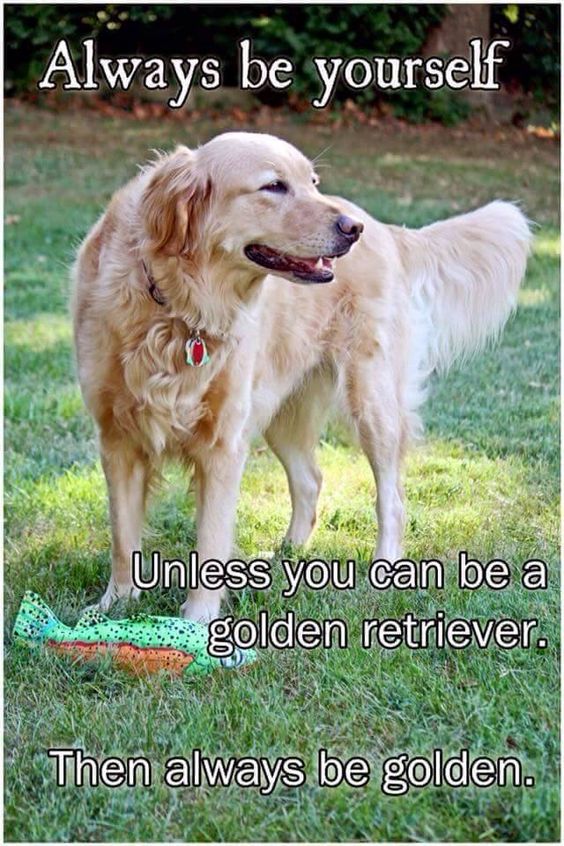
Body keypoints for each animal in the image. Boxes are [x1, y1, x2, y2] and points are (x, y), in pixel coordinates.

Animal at [72, 132, 532, 624]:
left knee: (391, 496)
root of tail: (385, 228)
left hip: (372, 401)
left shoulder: (223, 445)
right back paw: (286, 554)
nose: (352, 229)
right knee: (311, 479)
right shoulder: (117, 438)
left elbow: (211, 541)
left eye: (312, 183)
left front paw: (196, 621)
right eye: (274, 186)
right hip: (283, 413)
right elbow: (123, 537)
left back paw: (385, 566)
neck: (178, 306)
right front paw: (114, 605)